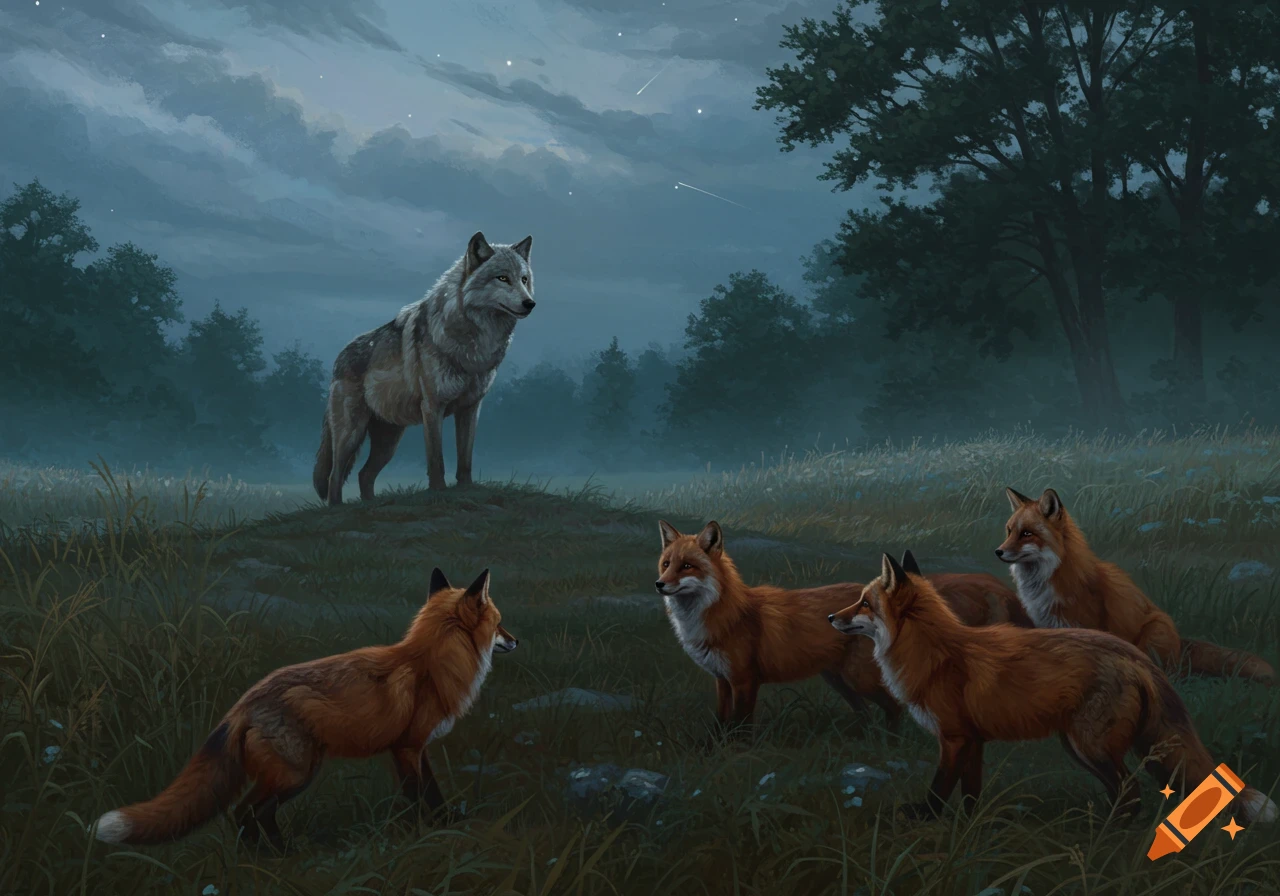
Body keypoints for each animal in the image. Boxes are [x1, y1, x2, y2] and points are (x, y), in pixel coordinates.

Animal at [91, 567, 518, 849]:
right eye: (499, 622)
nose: (517, 641)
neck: (430, 664)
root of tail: (242, 704)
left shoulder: (417, 748)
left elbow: (434, 791)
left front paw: (449, 823)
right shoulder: (406, 748)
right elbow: (418, 796)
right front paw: (424, 834)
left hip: (293, 773)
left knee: (255, 815)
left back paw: (275, 855)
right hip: (295, 774)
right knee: (244, 812)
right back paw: (272, 857)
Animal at [314, 231, 536, 504]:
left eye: (524, 279)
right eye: (503, 278)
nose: (530, 303)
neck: (474, 345)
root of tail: (339, 357)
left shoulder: (471, 408)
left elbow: (465, 458)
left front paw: (466, 489)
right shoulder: (432, 406)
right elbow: (436, 458)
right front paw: (439, 492)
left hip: (388, 441)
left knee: (363, 475)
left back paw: (370, 505)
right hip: (351, 433)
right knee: (335, 476)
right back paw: (337, 508)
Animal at [655, 520, 1034, 734]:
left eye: (687, 567)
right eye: (665, 564)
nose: (659, 584)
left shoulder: (746, 681)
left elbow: (741, 726)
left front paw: (738, 754)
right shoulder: (722, 680)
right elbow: (721, 722)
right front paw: (715, 749)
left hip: (857, 678)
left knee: (894, 708)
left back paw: (891, 745)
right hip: (839, 681)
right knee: (867, 713)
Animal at [830, 551, 1278, 824]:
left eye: (864, 603)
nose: (832, 617)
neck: (937, 654)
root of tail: (1137, 655)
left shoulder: (953, 739)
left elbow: (940, 790)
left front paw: (926, 819)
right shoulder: (973, 741)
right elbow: (970, 793)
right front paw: (973, 825)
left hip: (1089, 746)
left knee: (1131, 791)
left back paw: (1106, 835)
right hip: (1081, 747)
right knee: (1126, 792)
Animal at [997, 487, 1274, 684]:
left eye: (1026, 534)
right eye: (1009, 531)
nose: (998, 552)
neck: (1048, 578)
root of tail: (1180, 643)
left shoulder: (1085, 626)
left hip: (1154, 633)